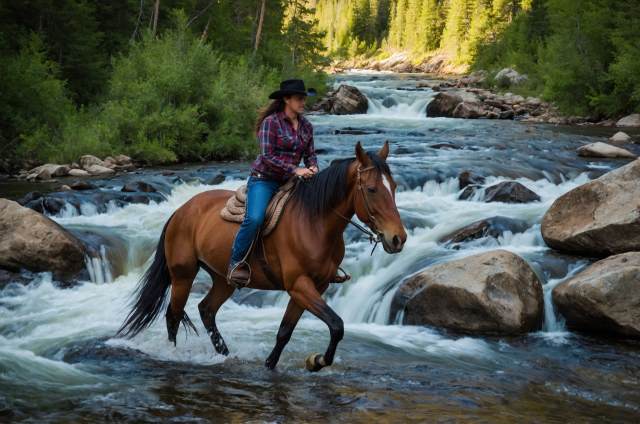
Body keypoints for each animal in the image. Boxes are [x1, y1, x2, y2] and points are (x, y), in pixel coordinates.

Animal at [116, 142, 404, 372]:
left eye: (394, 186)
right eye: (371, 189)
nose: (398, 239)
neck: (314, 223)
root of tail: (180, 211)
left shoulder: (315, 287)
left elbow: (285, 332)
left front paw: (271, 364)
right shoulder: (299, 285)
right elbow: (337, 324)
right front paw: (317, 361)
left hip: (224, 278)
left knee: (206, 310)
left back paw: (225, 355)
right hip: (183, 275)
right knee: (173, 315)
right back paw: (173, 354)